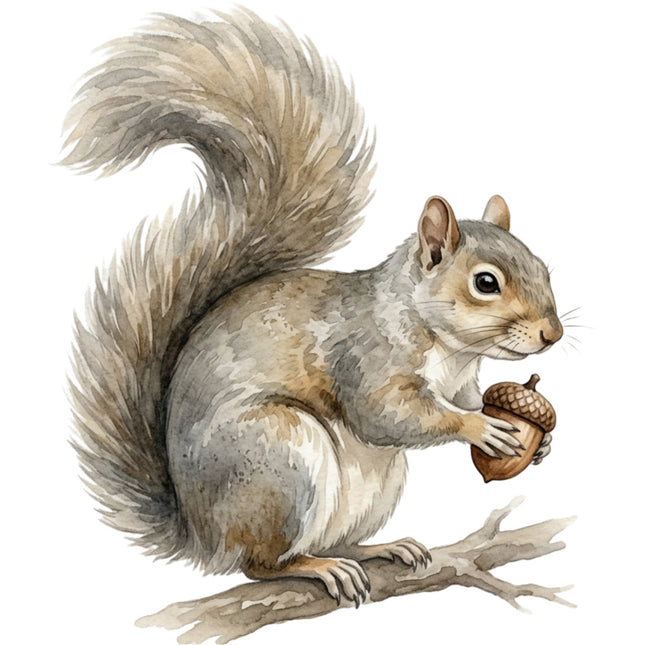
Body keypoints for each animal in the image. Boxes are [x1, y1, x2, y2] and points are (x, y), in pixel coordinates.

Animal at [63, 9, 562, 607]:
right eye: (486, 282)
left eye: (545, 268)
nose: (553, 335)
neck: (446, 345)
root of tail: (201, 534)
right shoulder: (365, 358)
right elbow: (389, 414)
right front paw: (478, 428)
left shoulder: (462, 379)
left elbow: (469, 398)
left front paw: (537, 441)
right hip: (279, 459)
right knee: (259, 565)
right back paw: (316, 568)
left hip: (371, 485)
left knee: (335, 539)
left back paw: (377, 550)